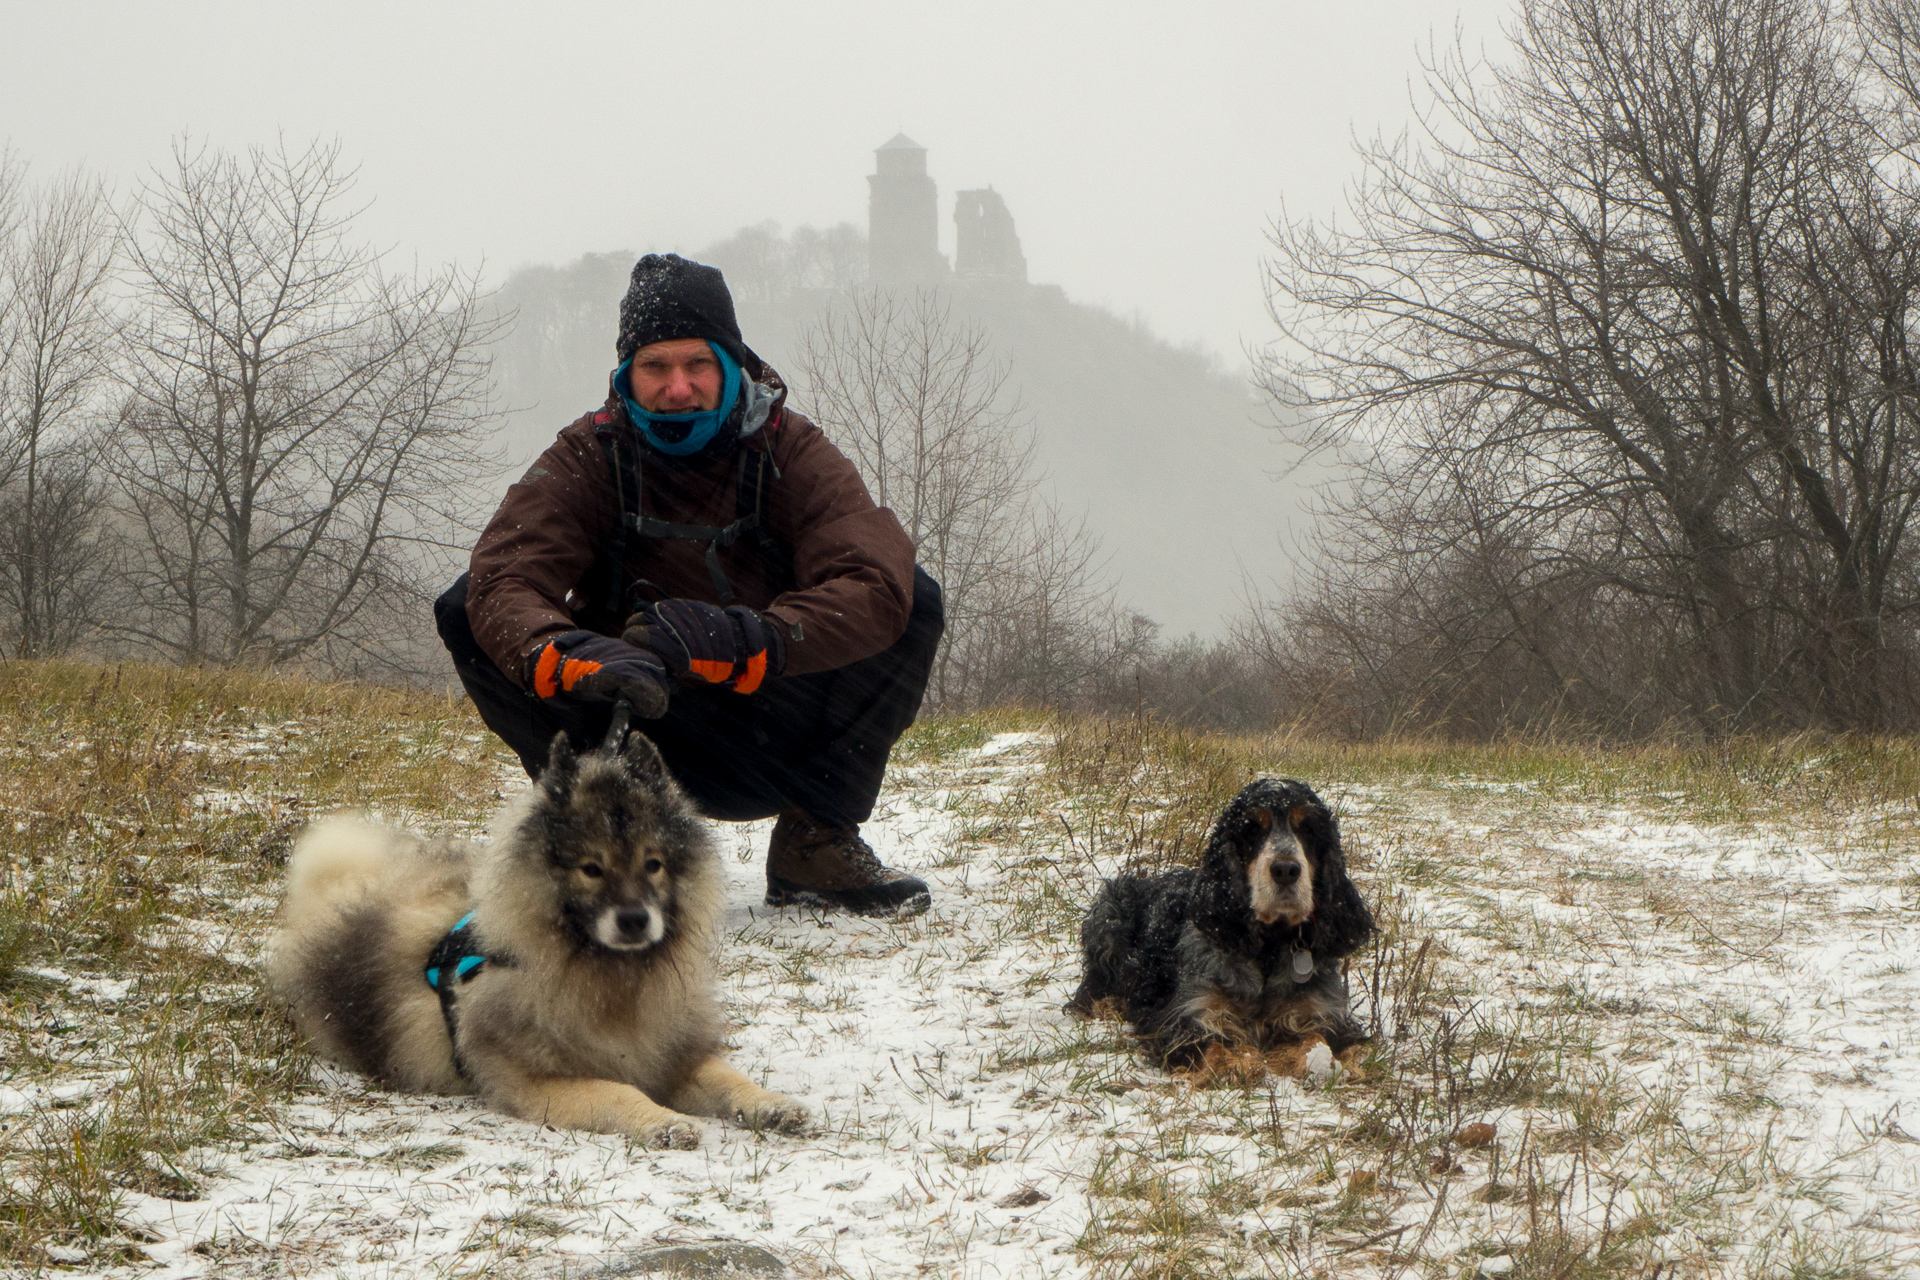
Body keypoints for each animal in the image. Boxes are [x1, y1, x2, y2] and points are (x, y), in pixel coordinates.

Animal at [266, 729, 806, 1151]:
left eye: (653, 863)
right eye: (591, 869)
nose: (634, 919)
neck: (611, 978)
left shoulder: (670, 1055)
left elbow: (727, 1078)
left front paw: (771, 1105)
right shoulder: (537, 1082)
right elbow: (618, 1092)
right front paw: (665, 1122)